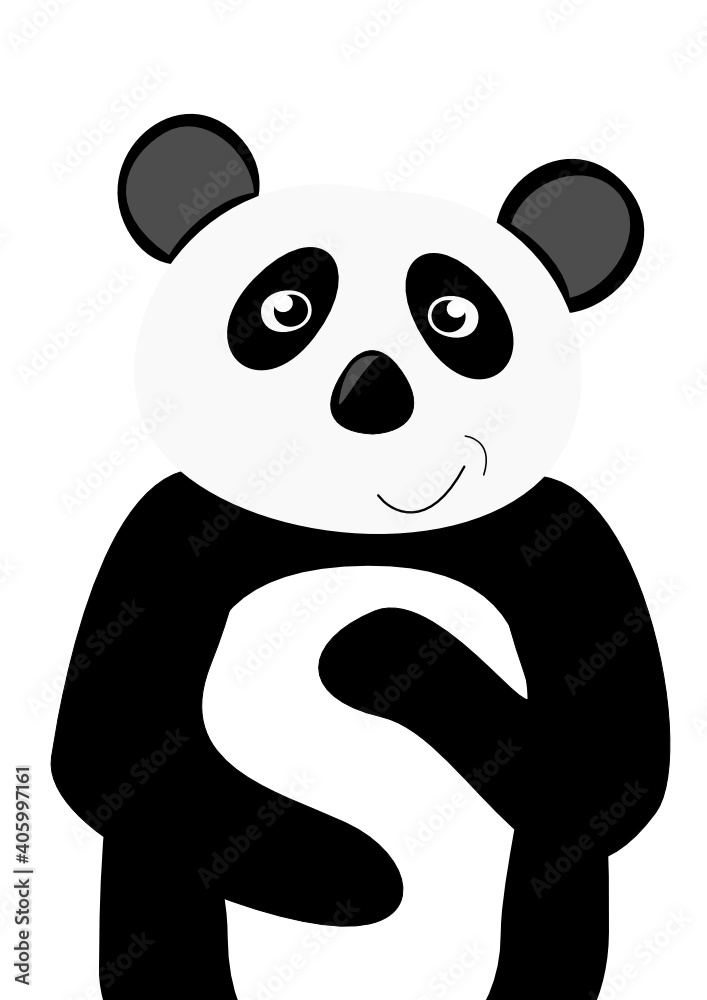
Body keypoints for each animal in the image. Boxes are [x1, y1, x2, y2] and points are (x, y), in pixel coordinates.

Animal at [51, 115, 670, 1000]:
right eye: (286, 307)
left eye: (454, 315)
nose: (371, 390)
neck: (350, 534)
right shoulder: (164, 539)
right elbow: (117, 747)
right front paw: (358, 874)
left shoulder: (567, 543)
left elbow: (607, 776)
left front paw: (372, 648)